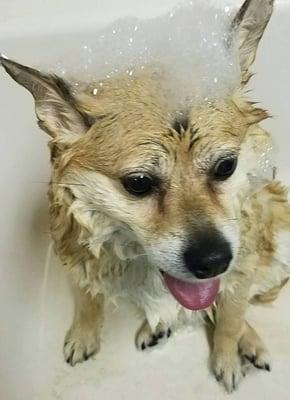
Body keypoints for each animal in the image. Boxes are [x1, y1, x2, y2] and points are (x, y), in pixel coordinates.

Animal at [1, 0, 288, 394]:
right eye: (138, 183)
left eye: (226, 166)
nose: (213, 260)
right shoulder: (76, 256)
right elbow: (87, 301)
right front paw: (84, 334)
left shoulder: (240, 263)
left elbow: (231, 315)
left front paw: (227, 355)